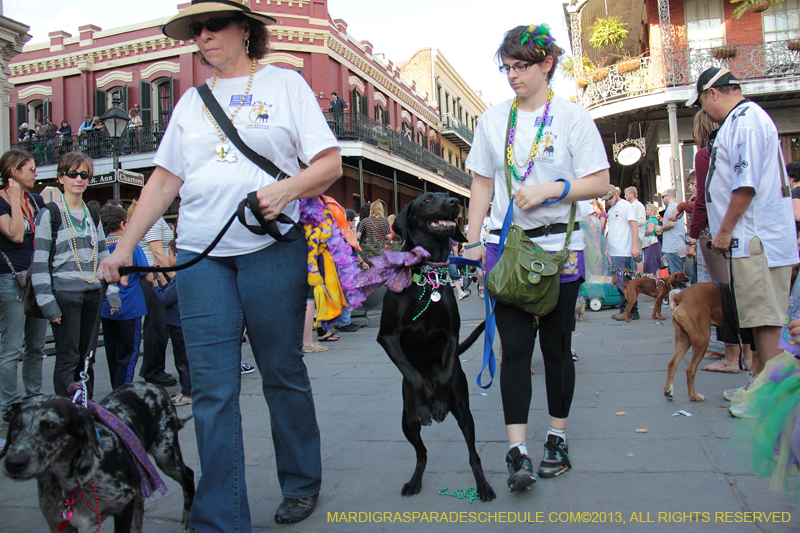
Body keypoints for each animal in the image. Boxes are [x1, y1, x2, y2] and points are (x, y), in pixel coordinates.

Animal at [2, 382, 196, 532]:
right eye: (17, 425)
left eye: (50, 425)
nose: (13, 463)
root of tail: (152, 385)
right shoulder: (60, 523)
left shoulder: (123, 507)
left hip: (165, 455)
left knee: (188, 476)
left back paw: (188, 519)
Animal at [378, 193, 496, 500]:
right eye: (427, 199)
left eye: (446, 198)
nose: (454, 202)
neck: (428, 275)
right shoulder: (387, 337)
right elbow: (414, 374)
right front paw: (424, 402)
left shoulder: (452, 334)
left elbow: (443, 373)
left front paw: (440, 402)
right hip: (407, 422)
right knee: (422, 453)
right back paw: (415, 480)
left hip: (465, 413)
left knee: (472, 454)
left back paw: (483, 485)